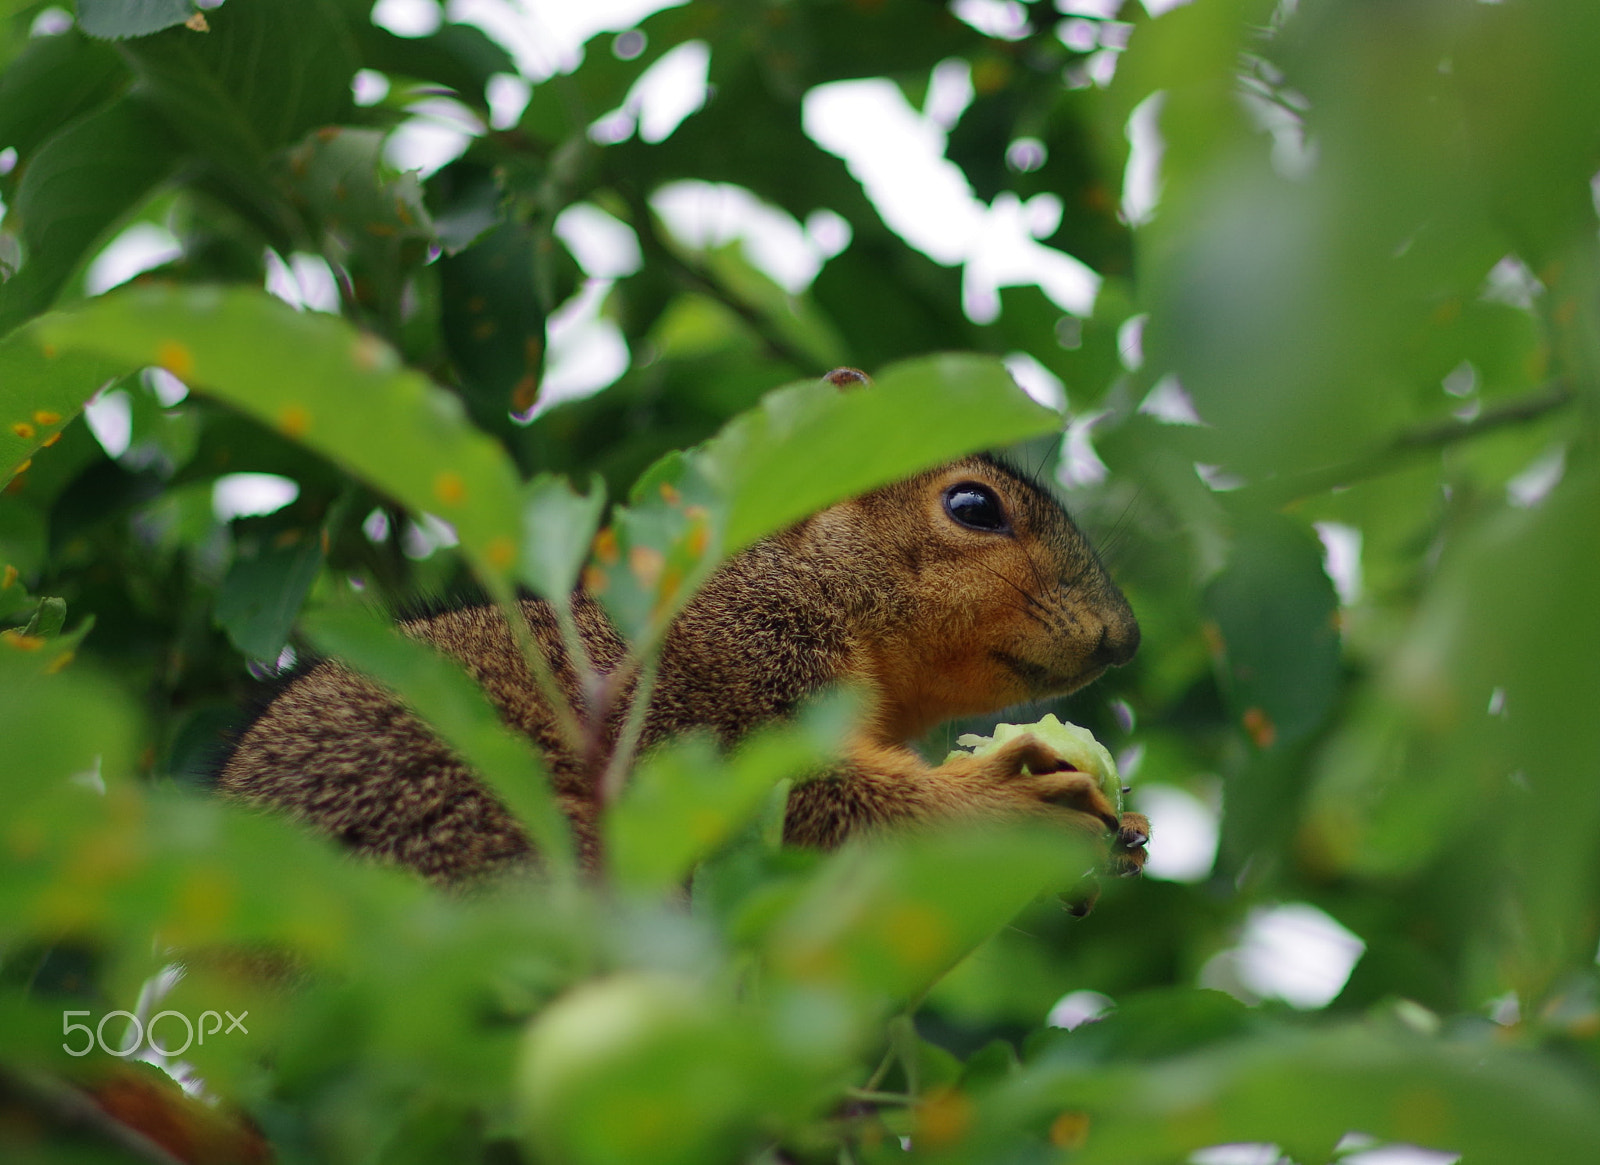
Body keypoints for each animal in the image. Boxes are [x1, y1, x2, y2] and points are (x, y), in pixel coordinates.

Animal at [222, 368, 1152, 896]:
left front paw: (1132, 832)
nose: (1124, 635)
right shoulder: (726, 696)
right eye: (972, 505)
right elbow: (824, 806)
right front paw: (1013, 798)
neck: (804, 588)